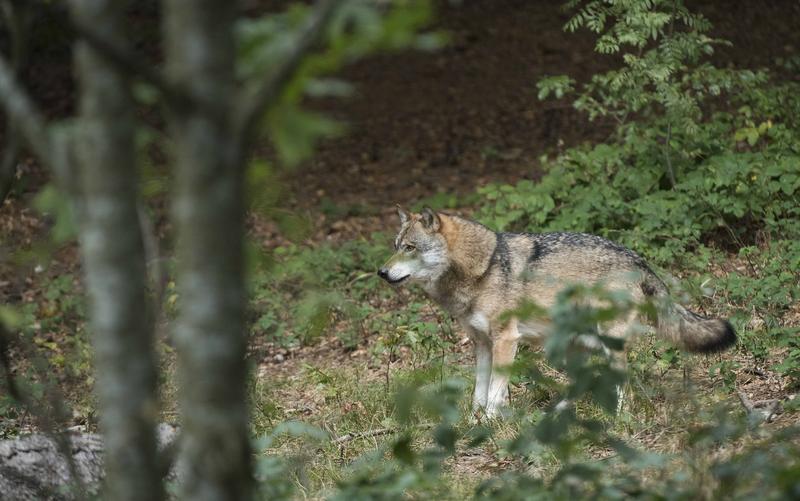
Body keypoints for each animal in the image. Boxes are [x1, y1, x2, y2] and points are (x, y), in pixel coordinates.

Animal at [378, 205, 736, 416]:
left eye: (410, 248)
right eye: (396, 247)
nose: (381, 272)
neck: (482, 269)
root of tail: (638, 258)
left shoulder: (506, 341)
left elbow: (494, 393)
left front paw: (489, 424)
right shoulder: (482, 345)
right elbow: (479, 391)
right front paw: (472, 422)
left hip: (606, 344)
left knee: (624, 384)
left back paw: (618, 419)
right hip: (565, 350)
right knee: (586, 381)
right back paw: (558, 412)